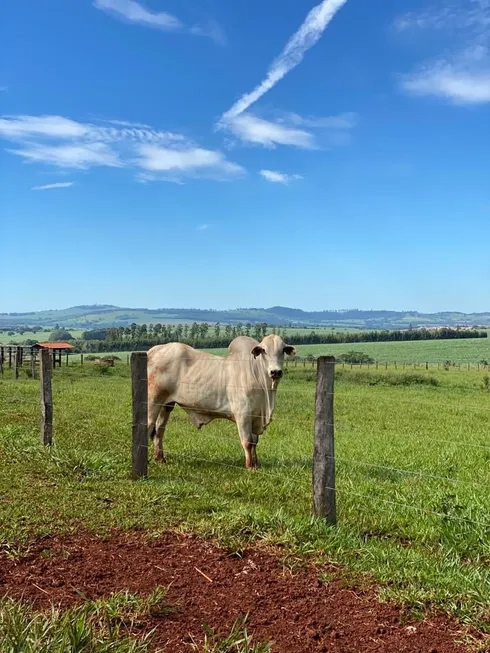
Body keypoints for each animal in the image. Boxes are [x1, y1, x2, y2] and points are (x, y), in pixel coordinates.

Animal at [147, 336, 294, 468]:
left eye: (282, 350)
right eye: (264, 350)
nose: (275, 372)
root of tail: (153, 350)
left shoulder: (255, 415)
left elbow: (254, 442)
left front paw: (256, 464)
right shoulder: (243, 415)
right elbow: (247, 442)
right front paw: (250, 467)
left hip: (167, 404)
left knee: (159, 430)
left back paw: (160, 459)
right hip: (152, 401)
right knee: (148, 426)